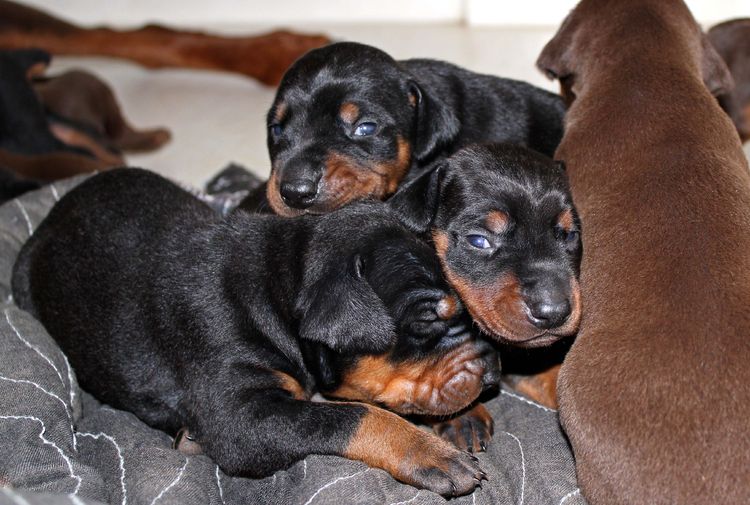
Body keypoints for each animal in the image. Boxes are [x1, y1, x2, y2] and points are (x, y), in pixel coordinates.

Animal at [11, 168, 502, 496]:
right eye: (426, 320)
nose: (494, 368)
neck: (277, 289)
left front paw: (461, 418)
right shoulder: (243, 419)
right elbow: (352, 415)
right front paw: (430, 452)